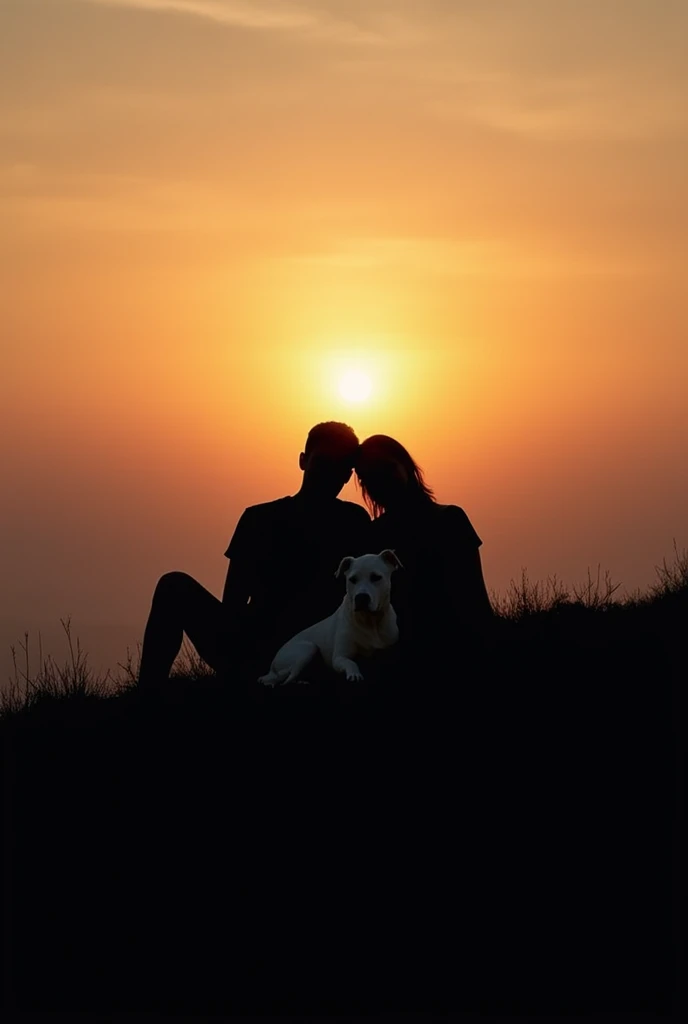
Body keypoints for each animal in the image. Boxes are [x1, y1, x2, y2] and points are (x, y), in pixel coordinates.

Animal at [258, 548, 401, 684]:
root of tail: (272, 666)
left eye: (376, 577)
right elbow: (350, 662)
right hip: (308, 648)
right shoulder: (339, 658)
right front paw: (354, 674)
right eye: (352, 580)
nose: (361, 597)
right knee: (285, 677)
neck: (370, 621)